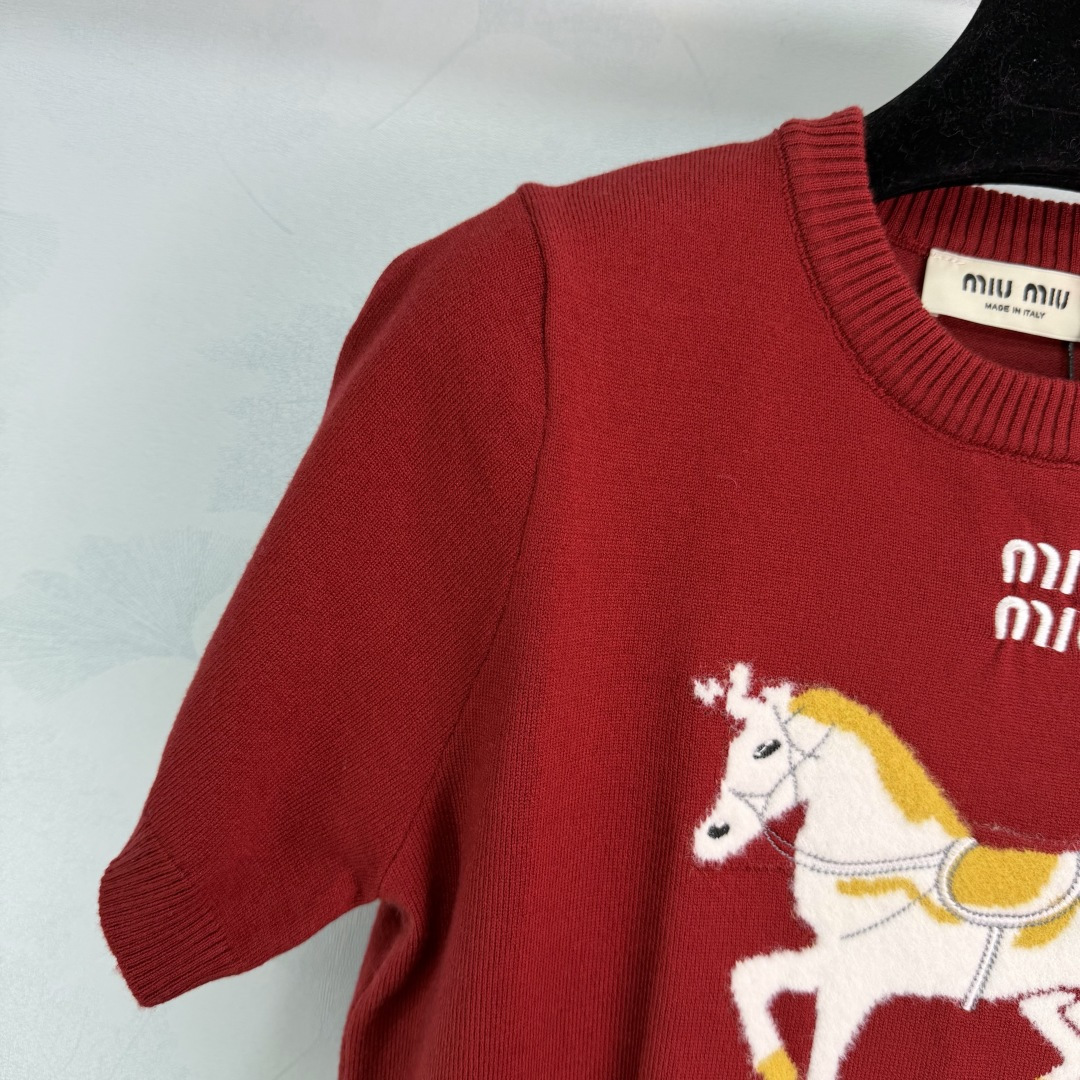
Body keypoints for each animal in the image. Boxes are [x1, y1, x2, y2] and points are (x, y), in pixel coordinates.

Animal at [690, 660, 1080, 1080]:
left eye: (765, 748)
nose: (714, 832)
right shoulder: (833, 959)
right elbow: (750, 978)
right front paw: (777, 1065)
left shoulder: (857, 977)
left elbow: (821, 1062)